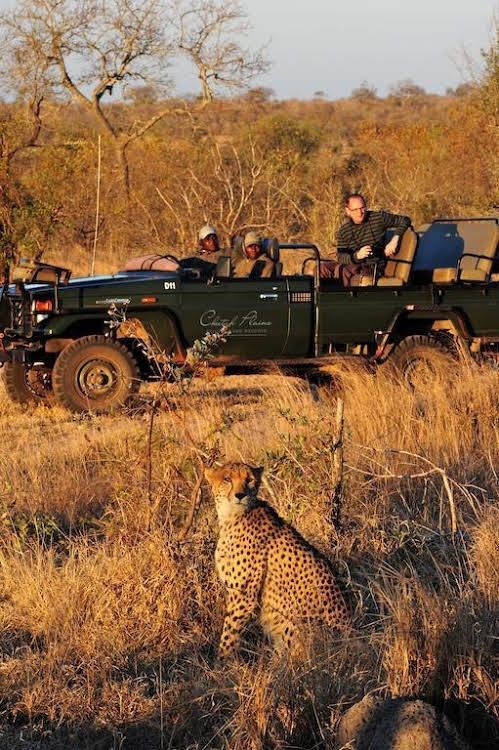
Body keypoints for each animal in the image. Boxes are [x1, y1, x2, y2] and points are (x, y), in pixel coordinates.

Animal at [205, 461, 351, 659]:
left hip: (294, 624)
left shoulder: (243, 597)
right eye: (227, 478)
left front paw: (221, 663)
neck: (232, 517)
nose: (240, 495)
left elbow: (229, 635)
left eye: (249, 480)